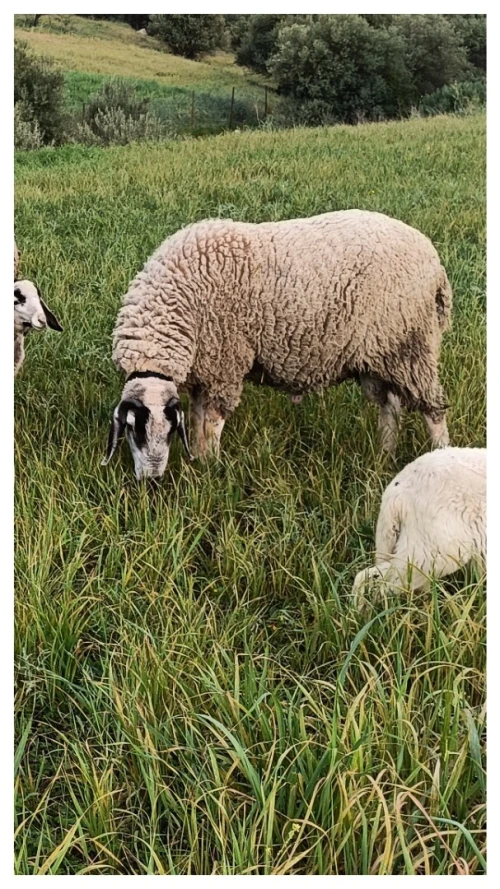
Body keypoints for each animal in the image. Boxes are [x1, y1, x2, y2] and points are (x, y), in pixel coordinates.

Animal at [104, 210, 452, 479]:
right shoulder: (207, 369)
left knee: (433, 409)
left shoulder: (226, 363)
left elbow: (213, 421)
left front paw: (211, 466)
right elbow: (198, 417)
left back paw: (441, 453)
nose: (151, 479)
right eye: (133, 431)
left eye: (167, 431)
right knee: (390, 405)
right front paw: (201, 459)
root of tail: (435, 263)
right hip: (380, 352)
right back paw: (384, 455)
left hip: (412, 343)